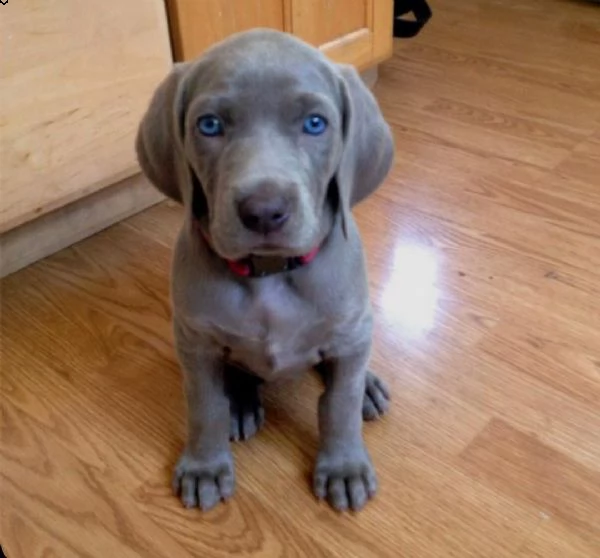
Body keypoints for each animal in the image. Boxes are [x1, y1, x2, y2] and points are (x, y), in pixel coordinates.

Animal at [138, 28, 396, 516]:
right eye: (209, 125)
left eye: (315, 123)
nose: (263, 211)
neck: (269, 275)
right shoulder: (194, 341)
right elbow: (204, 406)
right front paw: (205, 464)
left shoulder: (348, 329)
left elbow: (339, 402)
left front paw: (343, 465)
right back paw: (240, 401)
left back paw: (369, 387)